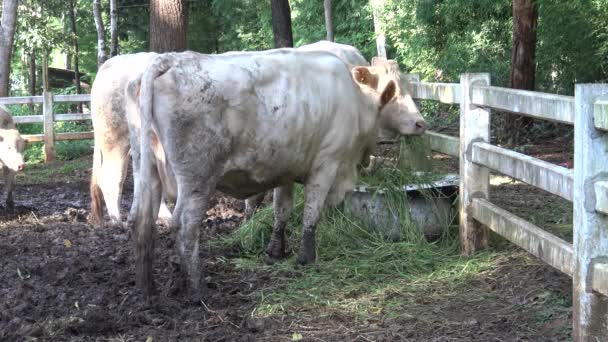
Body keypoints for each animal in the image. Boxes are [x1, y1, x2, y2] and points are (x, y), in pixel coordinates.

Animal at [126, 48, 426, 300]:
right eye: (396, 93)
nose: (421, 123)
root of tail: (172, 59)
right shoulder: (327, 164)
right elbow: (311, 212)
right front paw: (306, 257)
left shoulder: (285, 170)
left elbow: (282, 210)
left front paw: (275, 251)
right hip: (198, 179)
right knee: (185, 226)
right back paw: (198, 289)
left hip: (146, 170)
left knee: (142, 220)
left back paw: (147, 290)